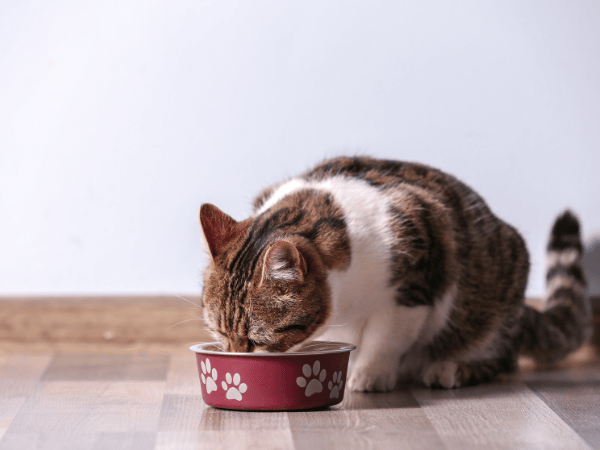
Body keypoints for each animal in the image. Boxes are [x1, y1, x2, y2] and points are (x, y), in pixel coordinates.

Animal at [198, 157, 592, 390]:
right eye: (219, 332)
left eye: (258, 341)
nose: (233, 360)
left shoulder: (413, 286)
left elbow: (385, 338)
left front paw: (369, 375)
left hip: (493, 297)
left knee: (501, 357)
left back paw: (450, 369)